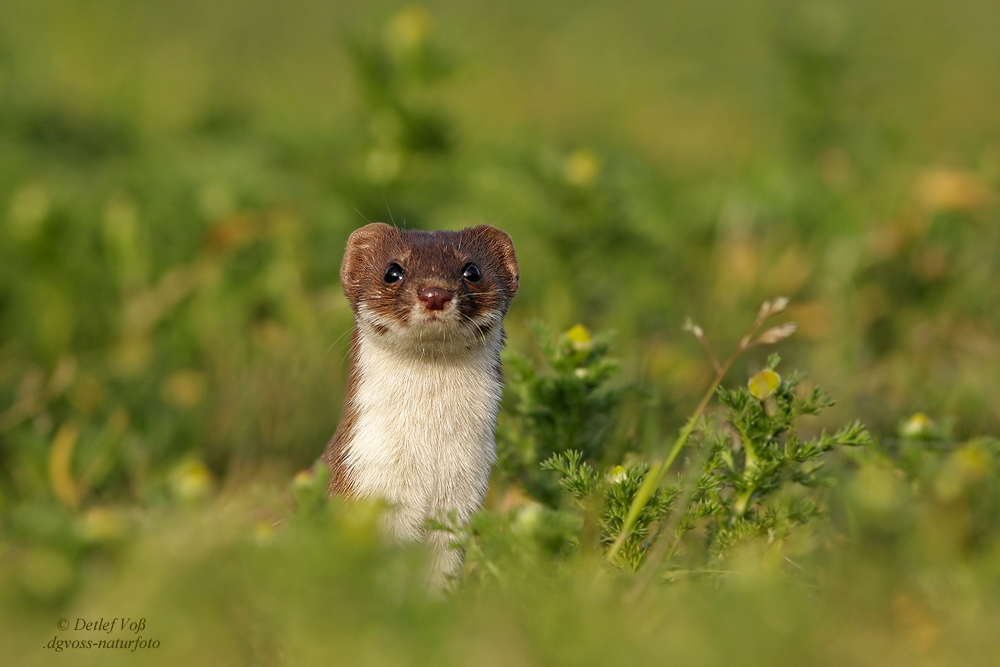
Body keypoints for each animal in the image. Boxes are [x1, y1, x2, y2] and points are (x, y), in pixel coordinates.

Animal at [322, 222, 524, 580]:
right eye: (393, 271)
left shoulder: (463, 495)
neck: (427, 462)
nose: (434, 293)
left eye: (472, 270)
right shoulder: (360, 478)